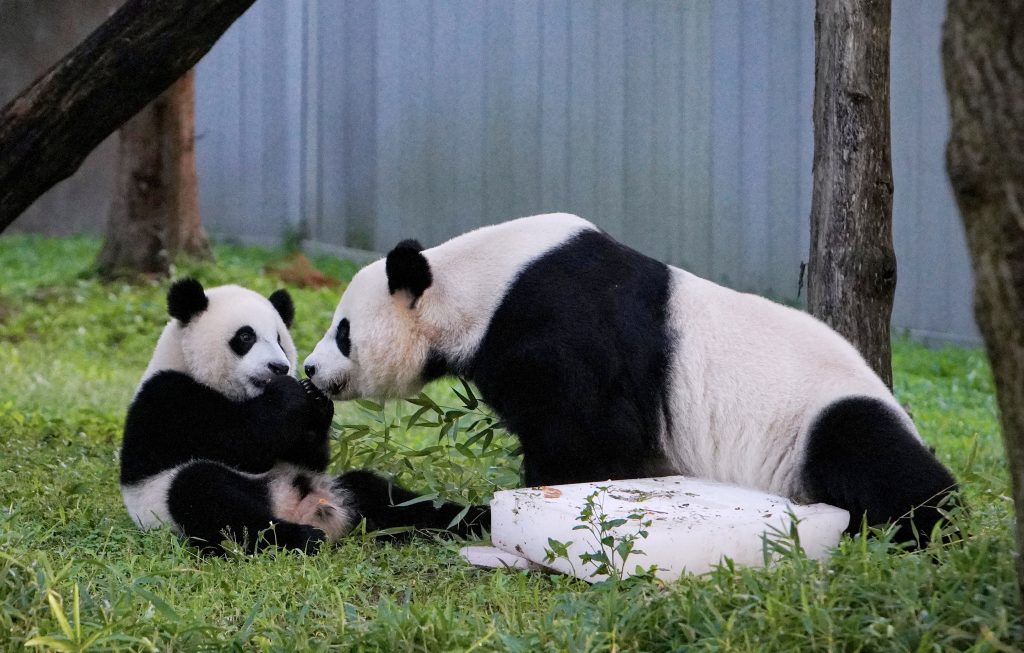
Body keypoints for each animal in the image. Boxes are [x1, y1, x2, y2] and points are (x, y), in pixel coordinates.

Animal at [119, 278, 487, 556]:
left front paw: (316, 399)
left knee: (389, 499)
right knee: (206, 495)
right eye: (246, 337)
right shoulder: (170, 397)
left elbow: (307, 455)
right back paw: (301, 538)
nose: (279, 367)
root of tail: (299, 508)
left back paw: (474, 519)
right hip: (166, 501)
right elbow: (238, 443)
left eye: (280, 339)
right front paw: (290, 393)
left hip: (337, 488)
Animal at [303, 213, 958, 548]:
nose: (310, 370)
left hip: (821, 414)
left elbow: (589, 440)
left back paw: (921, 531)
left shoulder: (557, 325)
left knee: (874, 457)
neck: (477, 282)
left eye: (343, 332)